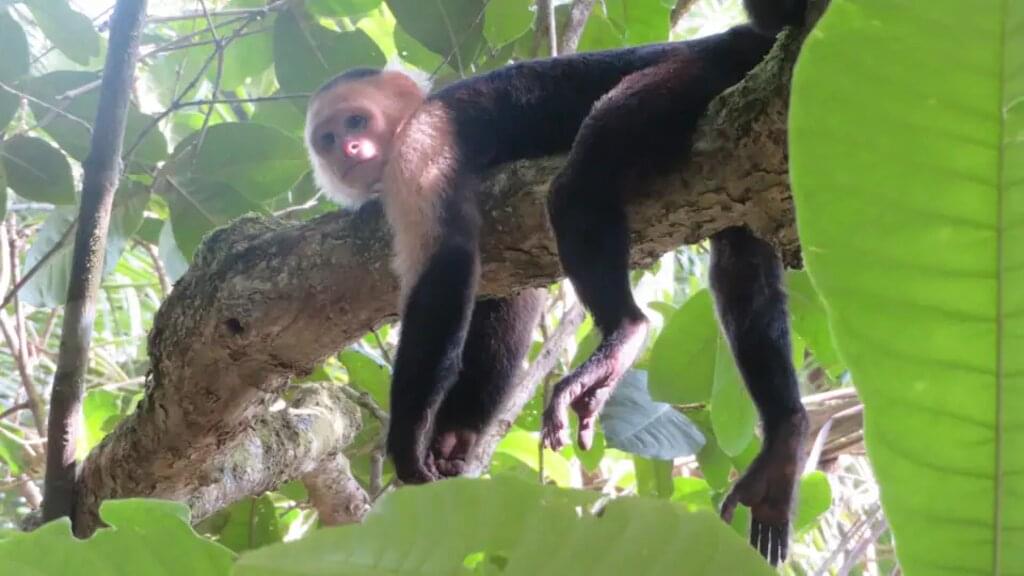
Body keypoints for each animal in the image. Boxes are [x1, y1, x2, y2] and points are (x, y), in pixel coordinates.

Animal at [305, 0, 808, 564]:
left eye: (357, 120)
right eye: (327, 140)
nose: (349, 148)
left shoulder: (419, 141)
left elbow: (447, 262)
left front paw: (409, 439)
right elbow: (510, 303)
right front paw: (455, 436)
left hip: (695, 75)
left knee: (580, 181)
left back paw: (625, 331)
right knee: (741, 263)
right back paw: (786, 435)